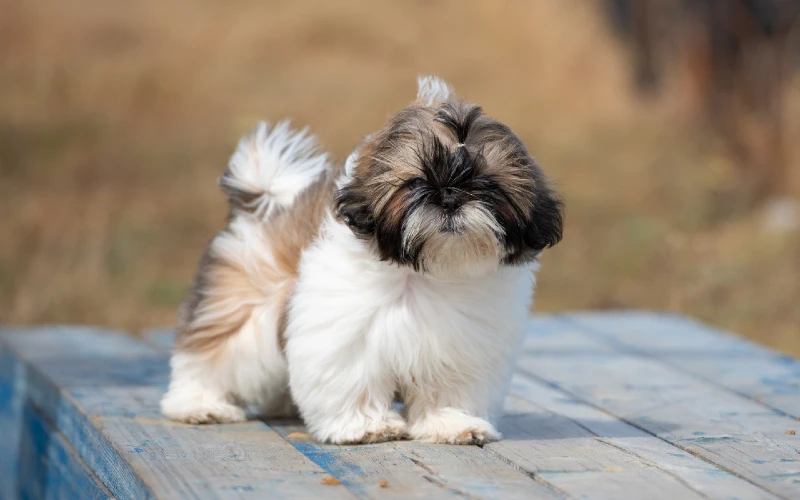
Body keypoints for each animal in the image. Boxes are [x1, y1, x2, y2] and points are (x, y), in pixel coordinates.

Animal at [161, 76, 564, 444]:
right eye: (416, 182)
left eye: (487, 184)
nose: (450, 197)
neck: (426, 274)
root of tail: (267, 202)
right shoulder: (345, 332)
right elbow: (352, 376)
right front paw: (368, 426)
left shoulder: (460, 343)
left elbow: (451, 385)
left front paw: (452, 423)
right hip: (241, 306)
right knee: (212, 355)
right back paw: (200, 403)